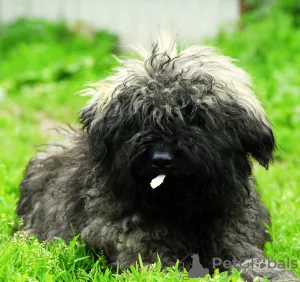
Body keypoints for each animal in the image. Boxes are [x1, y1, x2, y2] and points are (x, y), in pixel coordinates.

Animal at [17, 35, 298, 282]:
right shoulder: (145, 257)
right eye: (138, 119)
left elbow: (257, 265)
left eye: (195, 117)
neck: (181, 212)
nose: (161, 159)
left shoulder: (239, 243)